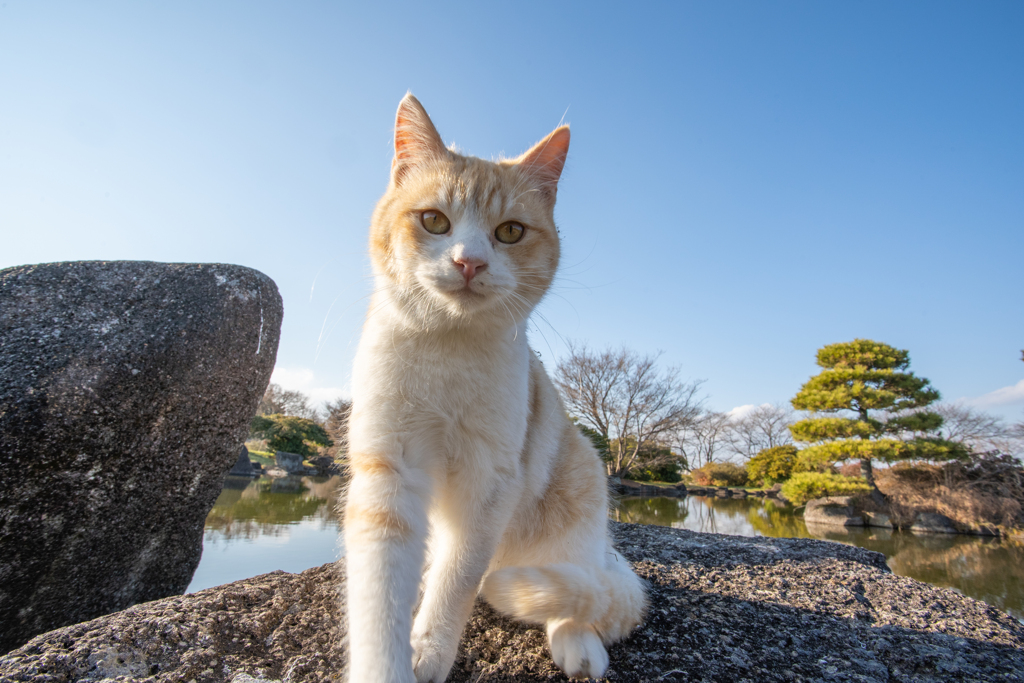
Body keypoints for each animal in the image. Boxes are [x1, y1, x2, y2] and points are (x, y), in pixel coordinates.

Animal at [344, 94, 647, 683]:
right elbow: (380, 594)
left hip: (582, 483)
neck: (449, 349)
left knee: (578, 589)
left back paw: (578, 643)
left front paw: (430, 647)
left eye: (509, 232)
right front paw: (391, 661)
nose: (469, 261)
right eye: (433, 220)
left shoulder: (492, 477)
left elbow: (460, 576)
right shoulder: (389, 467)